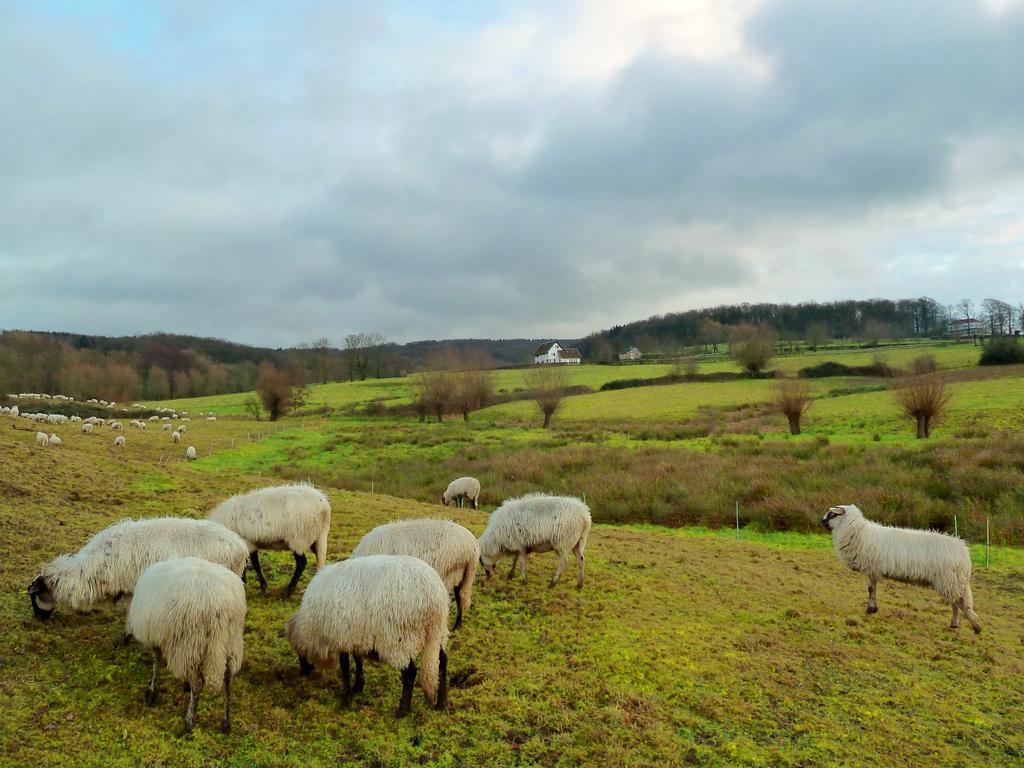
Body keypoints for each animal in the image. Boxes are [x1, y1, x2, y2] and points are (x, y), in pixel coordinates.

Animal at [126, 561, 244, 733]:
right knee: (229, 680)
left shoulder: (156, 637)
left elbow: (156, 663)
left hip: (188, 643)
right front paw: (184, 685)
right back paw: (226, 722)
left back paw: (189, 723)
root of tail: (219, 603)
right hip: (230, 642)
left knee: (198, 683)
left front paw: (152, 693)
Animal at [286, 557, 450, 720]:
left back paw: (402, 711)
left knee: (409, 672)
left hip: (398, 640)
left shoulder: (341, 638)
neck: (314, 628)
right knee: (442, 661)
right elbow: (358, 659)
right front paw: (358, 686)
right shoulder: (355, 636)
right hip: (436, 633)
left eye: (299, 653)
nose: (304, 672)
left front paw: (346, 699)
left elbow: (345, 667)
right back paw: (441, 702)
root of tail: (433, 596)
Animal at [819, 501, 978, 634]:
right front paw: (873, 608)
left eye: (832, 513)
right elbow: (872, 589)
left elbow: (871, 589)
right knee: (959, 602)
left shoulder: (872, 568)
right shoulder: (873, 570)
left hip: (949, 580)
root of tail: (963, 550)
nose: (821, 521)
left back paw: (964, 624)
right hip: (955, 582)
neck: (857, 532)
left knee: (957, 603)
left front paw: (870, 609)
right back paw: (960, 624)